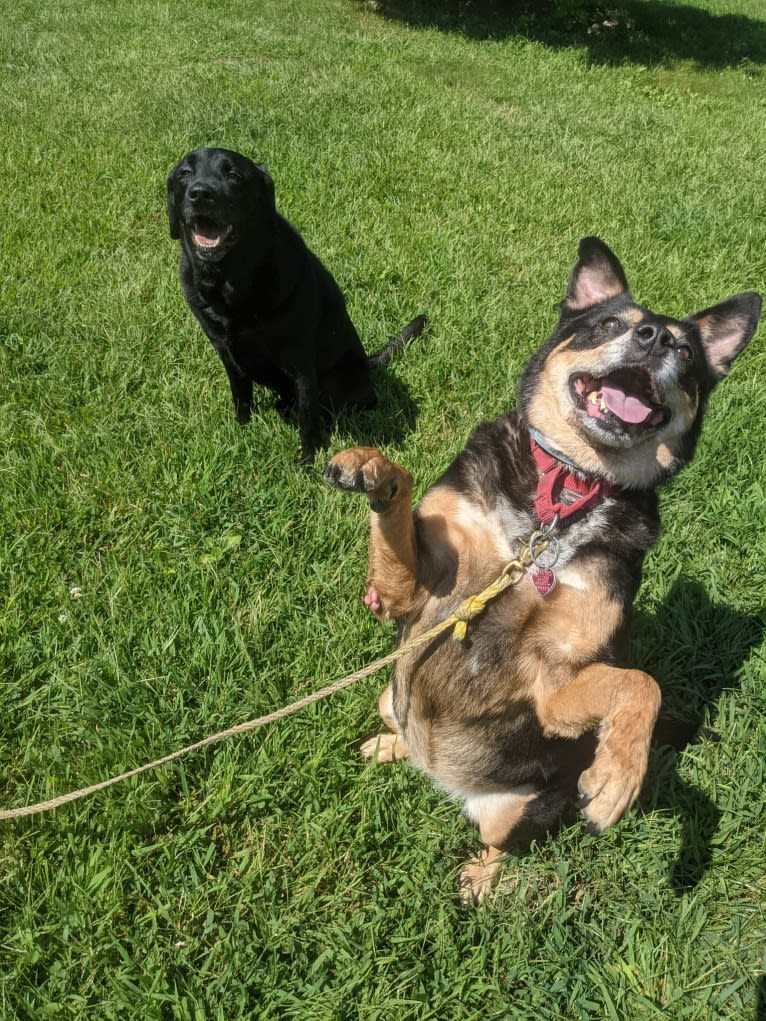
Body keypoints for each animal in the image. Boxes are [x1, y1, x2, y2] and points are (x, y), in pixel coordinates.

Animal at [166, 147, 426, 459]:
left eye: (233, 174)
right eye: (184, 173)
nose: (200, 193)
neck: (231, 287)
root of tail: (368, 361)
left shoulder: (299, 358)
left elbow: (307, 415)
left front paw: (309, 459)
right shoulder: (225, 351)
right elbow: (240, 393)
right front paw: (242, 429)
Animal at [324, 236, 763, 902]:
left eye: (686, 353)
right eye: (609, 324)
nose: (655, 340)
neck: (560, 498)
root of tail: (444, 779)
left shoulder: (555, 685)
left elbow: (641, 684)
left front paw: (617, 774)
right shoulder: (415, 596)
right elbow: (398, 490)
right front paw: (368, 466)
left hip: (514, 809)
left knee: (500, 843)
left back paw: (479, 878)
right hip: (386, 694)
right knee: (401, 723)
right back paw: (391, 746)